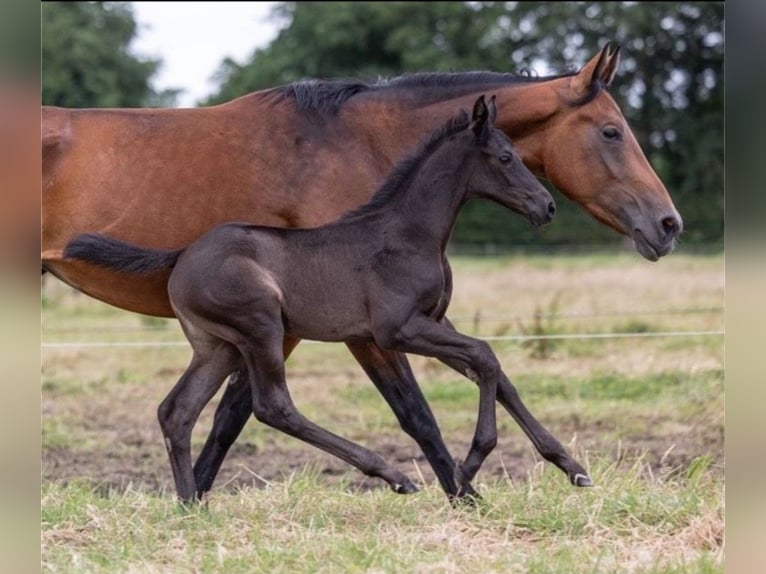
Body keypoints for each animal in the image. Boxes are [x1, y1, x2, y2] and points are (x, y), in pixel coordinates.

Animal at [40, 42, 684, 502]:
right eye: (611, 131)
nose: (668, 224)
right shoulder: (374, 331)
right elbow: (417, 410)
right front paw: (463, 488)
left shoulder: (397, 322)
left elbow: (494, 372)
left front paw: (567, 467)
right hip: (256, 327)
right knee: (271, 406)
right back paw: (396, 475)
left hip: (223, 339)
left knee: (182, 409)